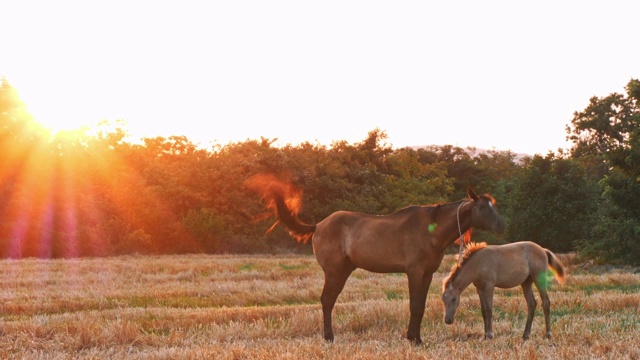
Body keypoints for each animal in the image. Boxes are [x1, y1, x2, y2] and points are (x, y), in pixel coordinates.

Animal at [249, 176, 504, 344]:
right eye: (483, 207)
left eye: (494, 205)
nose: (501, 225)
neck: (431, 230)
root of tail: (318, 225)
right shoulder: (414, 272)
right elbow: (414, 305)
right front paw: (413, 339)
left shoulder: (427, 273)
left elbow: (420, 305)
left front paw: (416, 337)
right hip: (334, 272)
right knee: (327, 301)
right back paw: (329, 338)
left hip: (343, 271)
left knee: (328, 300)